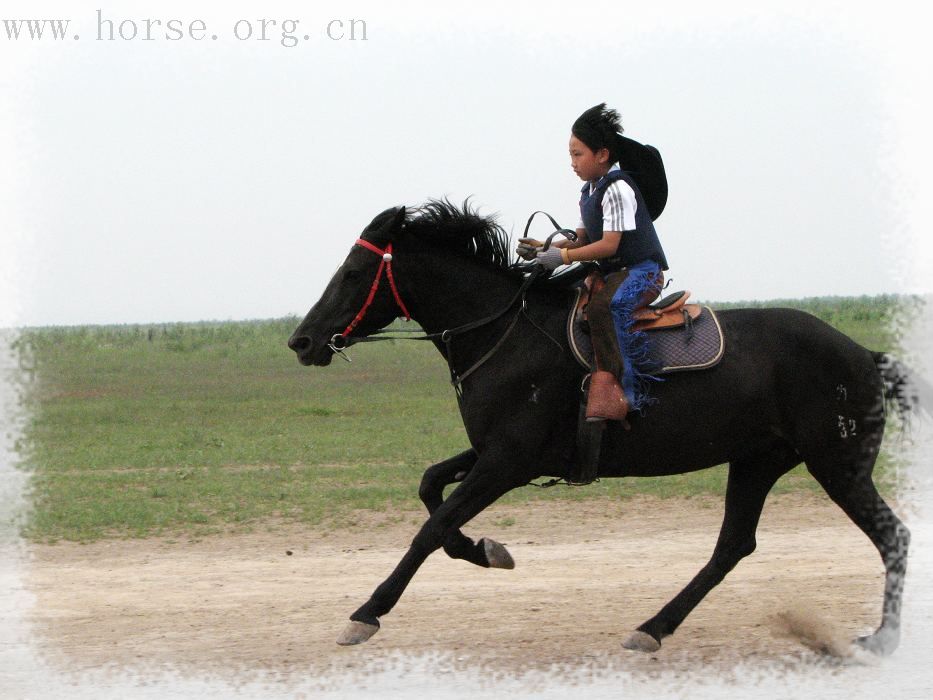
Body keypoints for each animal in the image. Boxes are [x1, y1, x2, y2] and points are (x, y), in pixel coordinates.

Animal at [288, 201, 912, 656]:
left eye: (353, 272)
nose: (302, 340)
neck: (506, 335)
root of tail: (863, 353)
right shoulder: (496, 454)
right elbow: (429, 488)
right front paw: (488, 550)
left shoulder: (507, 461)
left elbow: (431, 526)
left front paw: (367, 613)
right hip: (758, 460)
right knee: (733, 545)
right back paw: (653, 627)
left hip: (837, 463)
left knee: (893, 537)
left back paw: (883, 639)